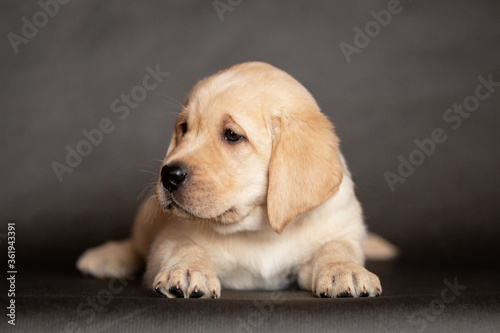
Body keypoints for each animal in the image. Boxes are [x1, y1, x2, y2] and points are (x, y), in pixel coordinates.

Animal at [77, 61, 394, 296]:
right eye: (184, 128)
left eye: (231, 135)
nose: (168, 174)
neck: (258, 230)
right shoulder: (170, 235)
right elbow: (183, 246)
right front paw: (187, 270)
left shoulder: (341, 229)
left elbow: (336, 248)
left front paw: (345, 270)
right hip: (147, 215)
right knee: (135, 245)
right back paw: (107, 257)